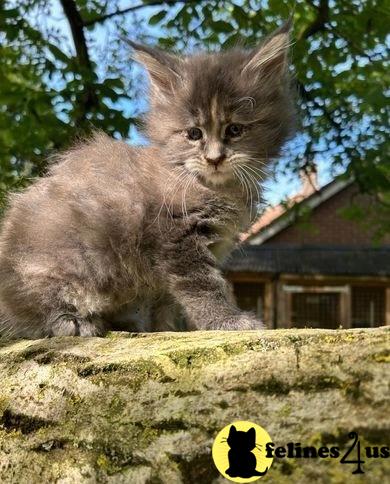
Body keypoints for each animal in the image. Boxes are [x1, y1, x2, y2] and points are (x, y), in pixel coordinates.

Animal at [0, 21, 292, 336]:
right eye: (194, 134)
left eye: (235, 130)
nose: (214, 158)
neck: (214, 187)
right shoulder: (176, 238)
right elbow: (202, 288)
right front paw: (228, 321)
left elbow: (167, 304)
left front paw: (164, 329)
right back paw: (73, 322)